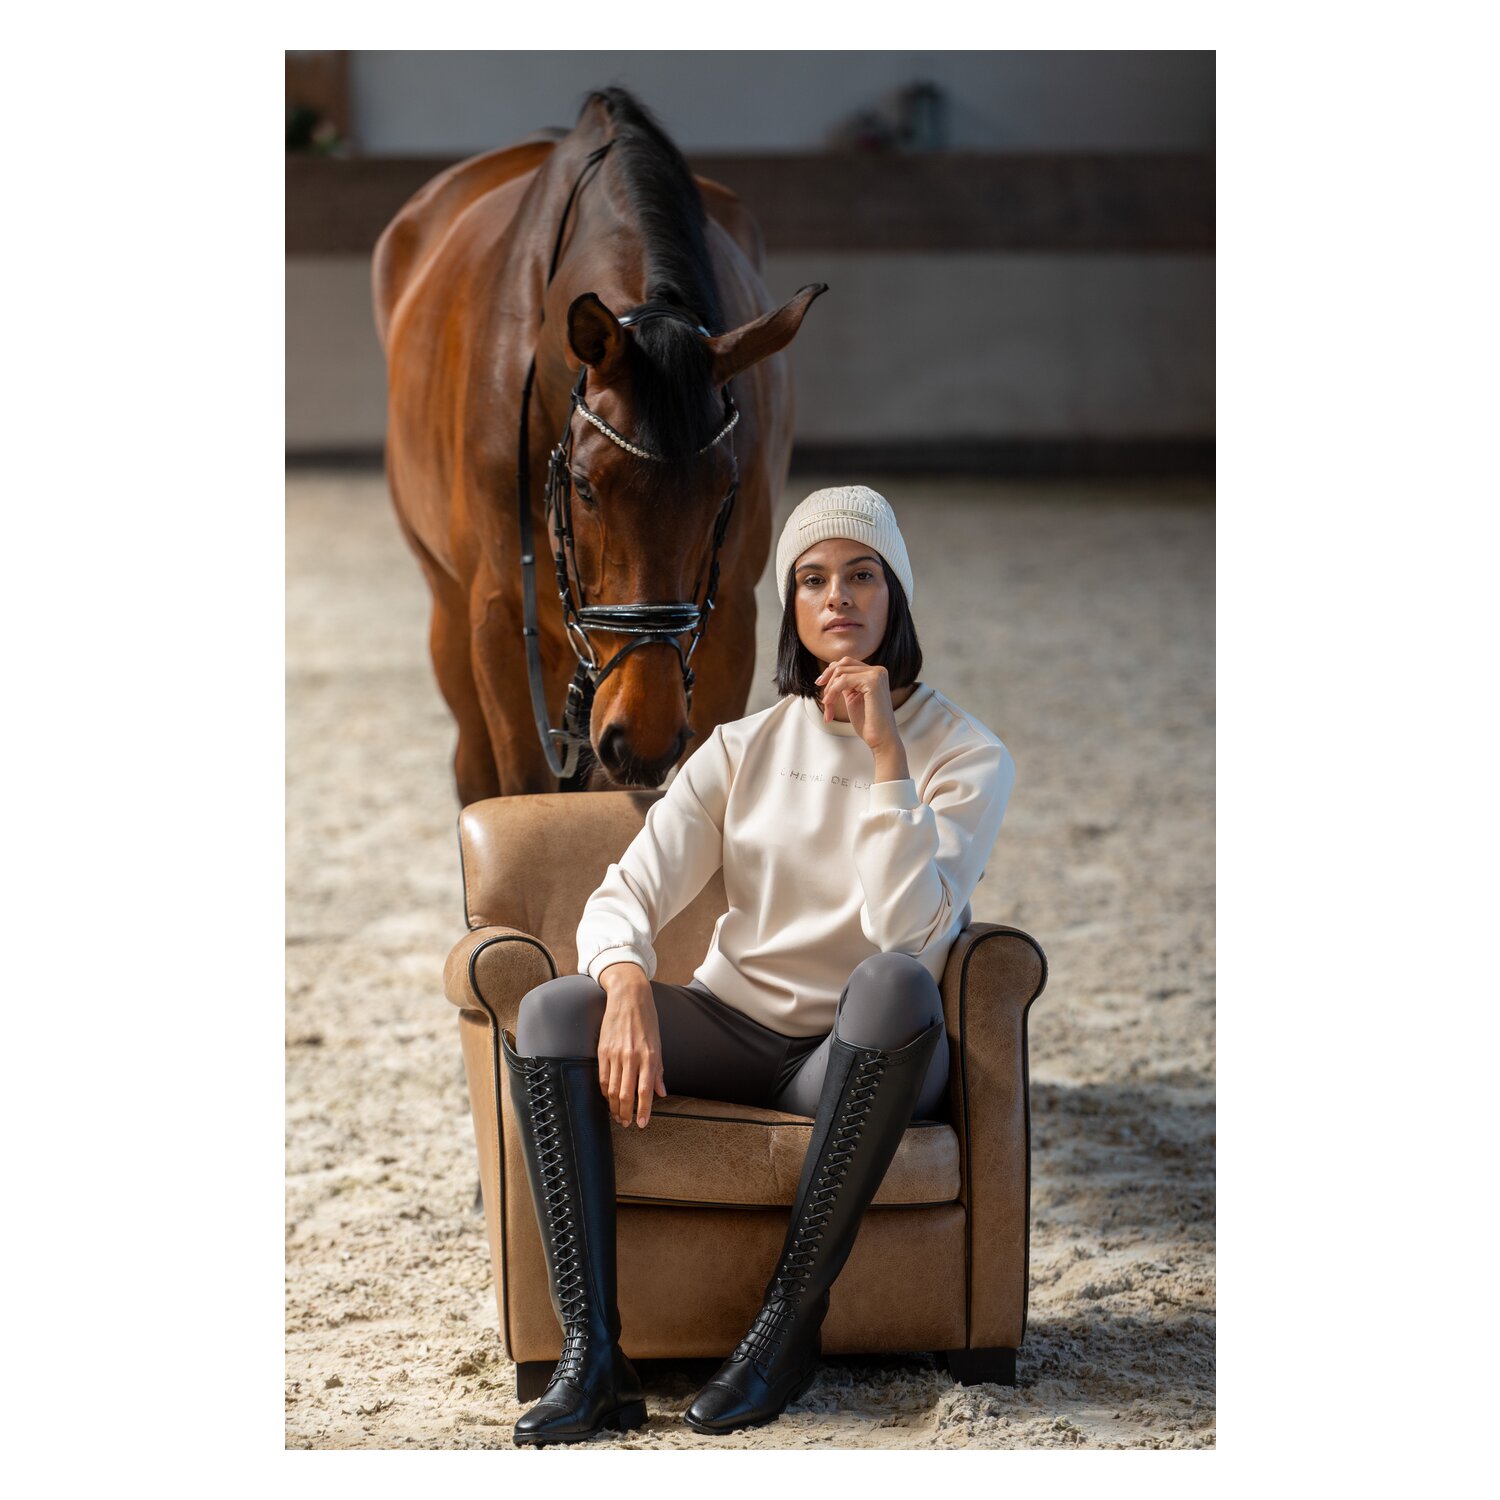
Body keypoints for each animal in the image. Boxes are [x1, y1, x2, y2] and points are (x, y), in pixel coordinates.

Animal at [373, 87, 825, 804]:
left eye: (724, 491)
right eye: (584, 486)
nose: (642, 739)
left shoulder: (728, 624)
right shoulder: (500, 621)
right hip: (451, 608)